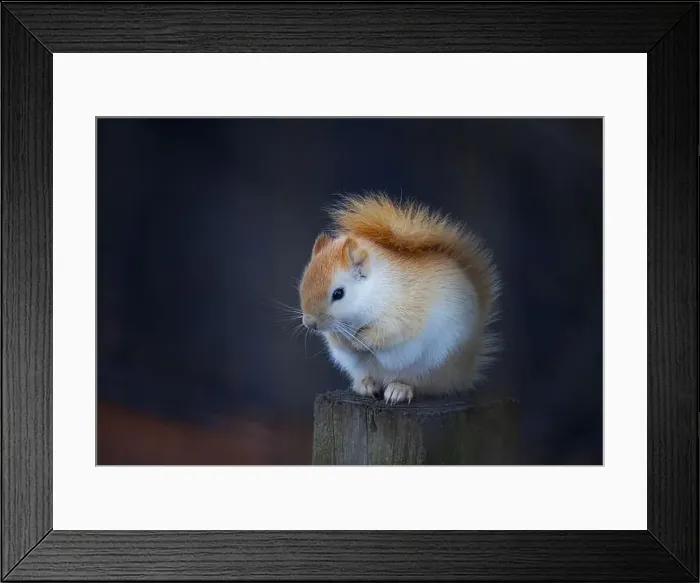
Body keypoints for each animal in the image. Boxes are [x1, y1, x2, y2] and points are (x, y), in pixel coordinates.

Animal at [298, 192, 501, 405]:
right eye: (303, 284)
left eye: (338, 293)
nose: (310, 323)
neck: (373, 291)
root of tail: (464, 373)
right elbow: (338, 340)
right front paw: (344, 341)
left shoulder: (404, 311)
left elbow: (391, 332)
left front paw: (362, 339)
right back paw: (366, 385)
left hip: (436, 365)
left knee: (421, 385)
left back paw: (399, 389)